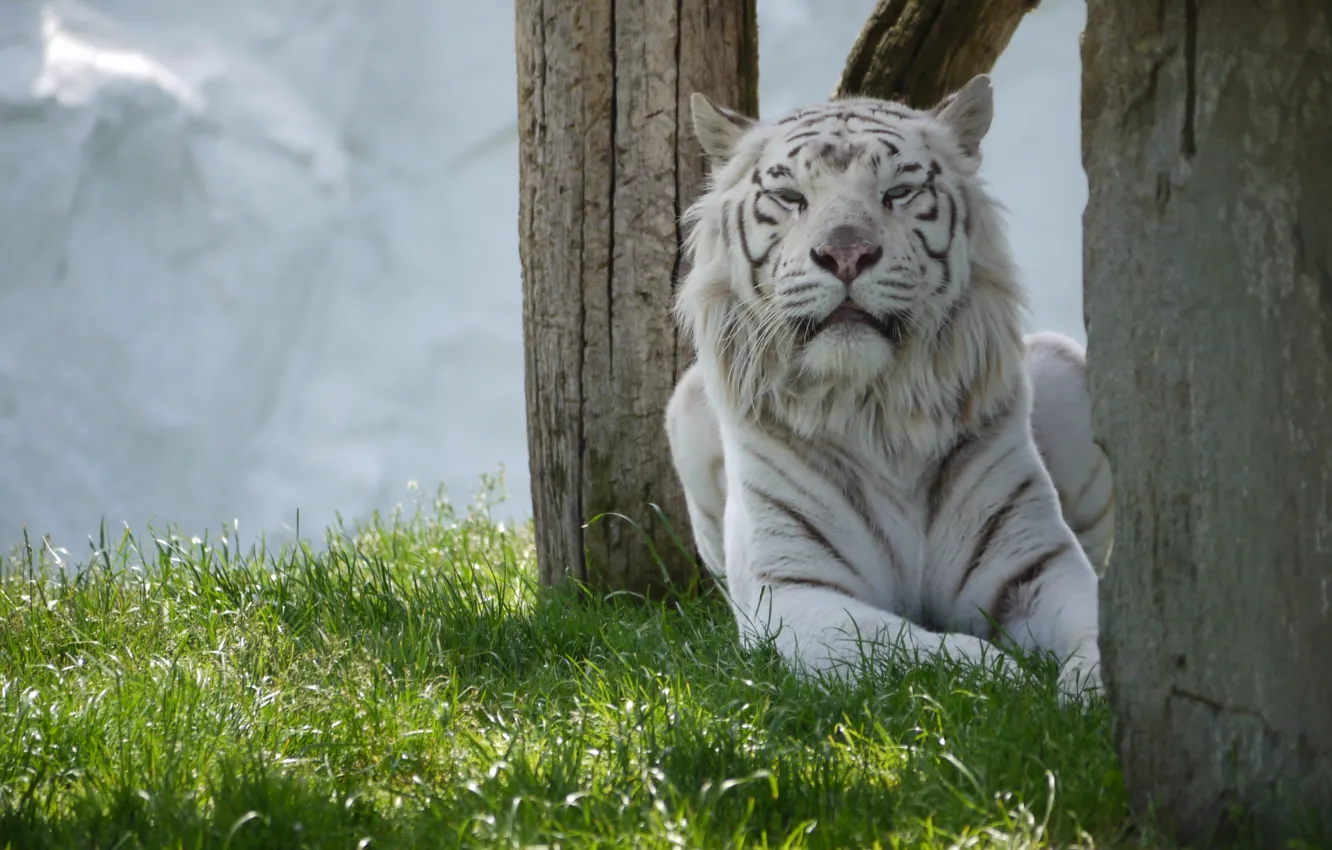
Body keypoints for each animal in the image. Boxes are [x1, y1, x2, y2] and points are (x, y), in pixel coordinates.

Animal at [664, 75, 1113, 701]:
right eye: (791, 197)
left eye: (897, 192)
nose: (845, 253)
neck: (874, 410)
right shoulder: (794, 592)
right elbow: (917, 649)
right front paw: (1010, 684)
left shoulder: (1037, 563)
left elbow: (1098, 627)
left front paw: (1091, 692)